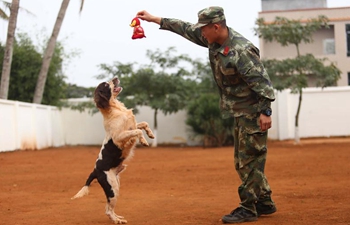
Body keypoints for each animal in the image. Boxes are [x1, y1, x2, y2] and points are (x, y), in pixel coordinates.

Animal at [71, 77, 153, 223]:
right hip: (112, 188)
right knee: (108, 210)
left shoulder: (131, 126)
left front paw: (150, 134)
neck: (115, 108)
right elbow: (137, 131)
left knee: (108, 208)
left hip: (116, 186)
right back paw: (117, 221)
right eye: (105, 84)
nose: (115, 78)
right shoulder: (119, 137)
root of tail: (95, 171)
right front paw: (143, 140)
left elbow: (143, 124)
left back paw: (118, 217)